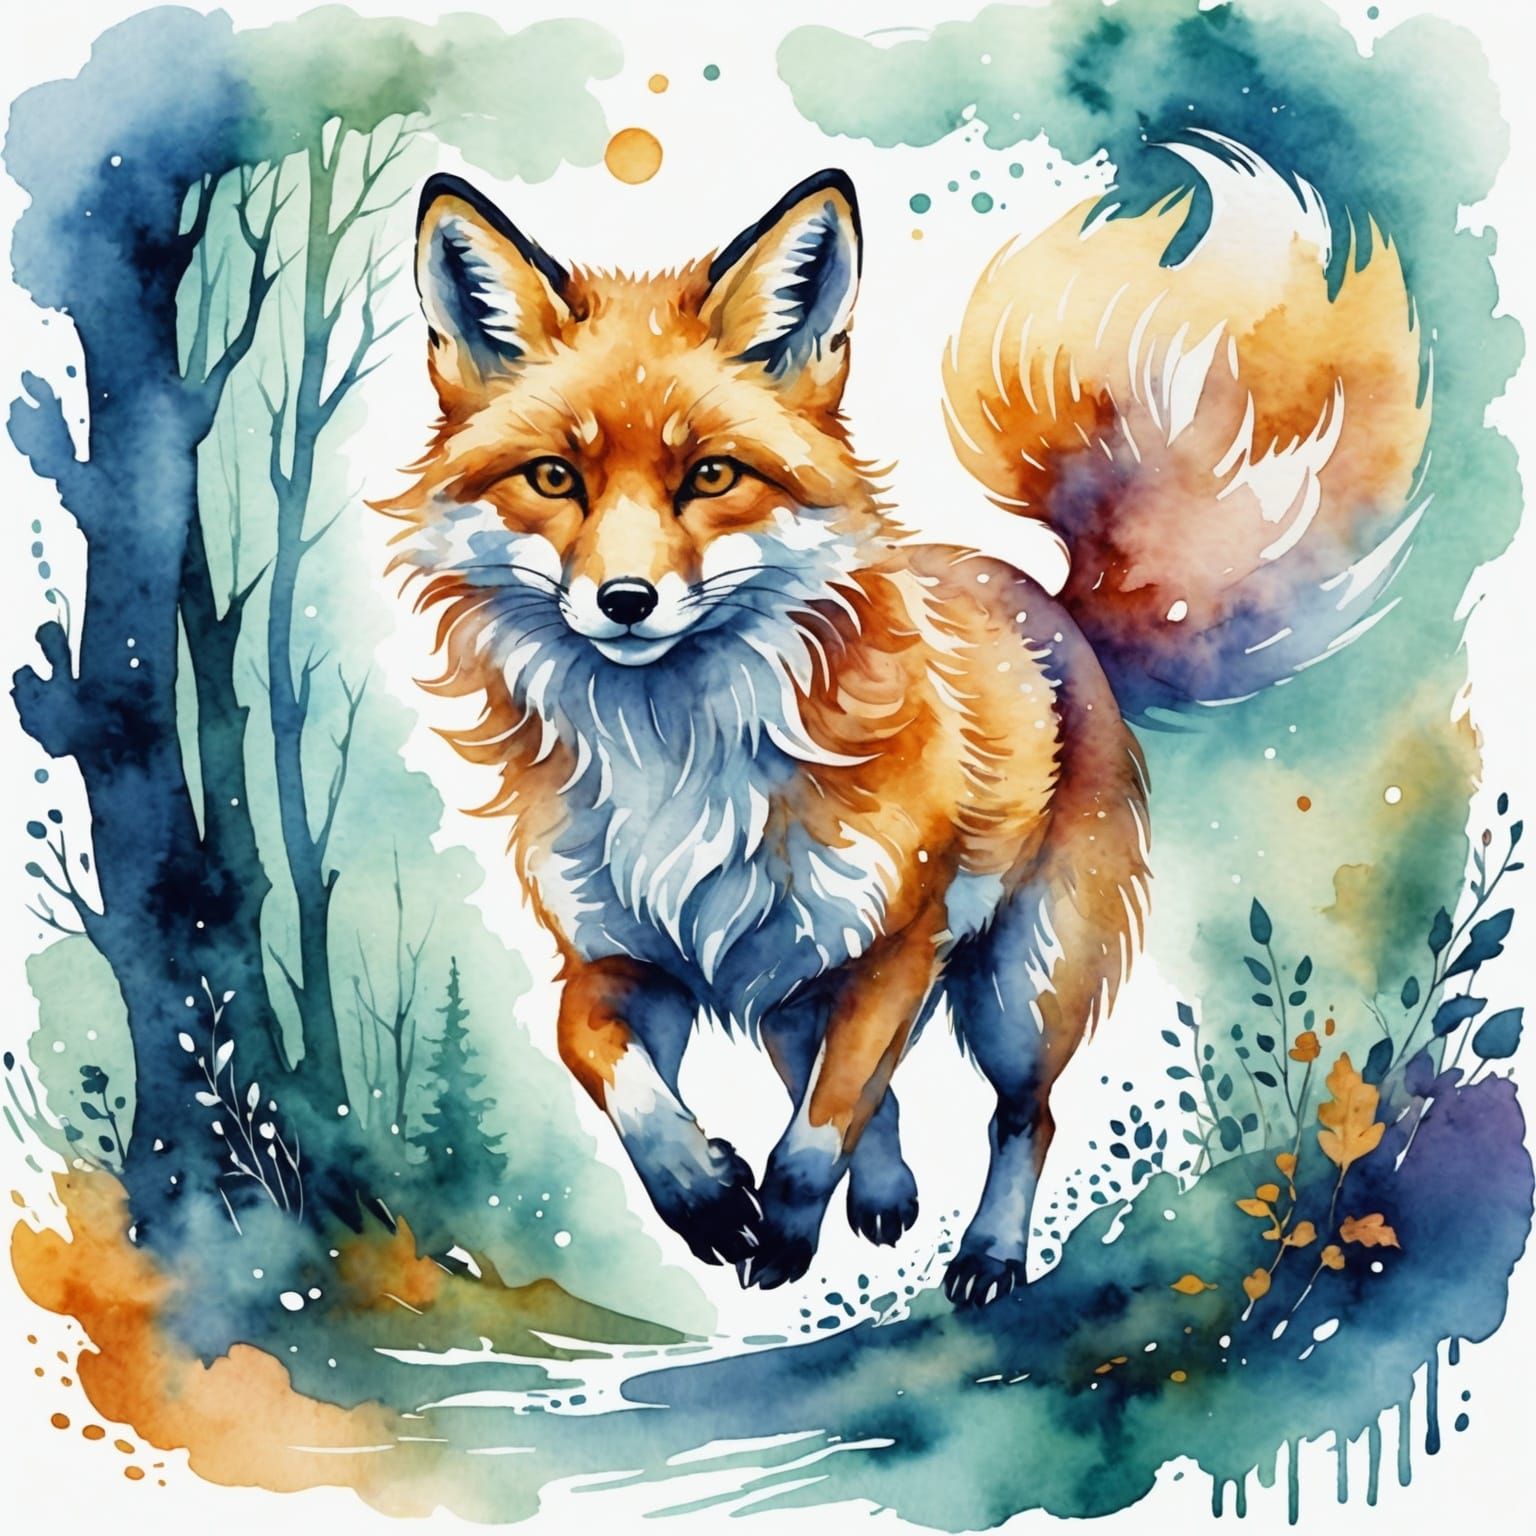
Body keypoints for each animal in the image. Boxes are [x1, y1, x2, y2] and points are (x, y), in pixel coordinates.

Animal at [381, 136, 1428, 1306]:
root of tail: (1049, 600)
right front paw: (701, 1193)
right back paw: (882, 1195)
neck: (678, 757)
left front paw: (785, 1233)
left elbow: (815, 1134)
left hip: (1018, 991)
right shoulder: (622, 963)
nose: (626, 601)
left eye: (710, 475)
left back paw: (989, 1253)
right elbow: (609, 1066)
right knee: (873, 1093)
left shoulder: (894, 944)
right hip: (800, 990)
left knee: (1022, 1115)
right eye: (556, 476)